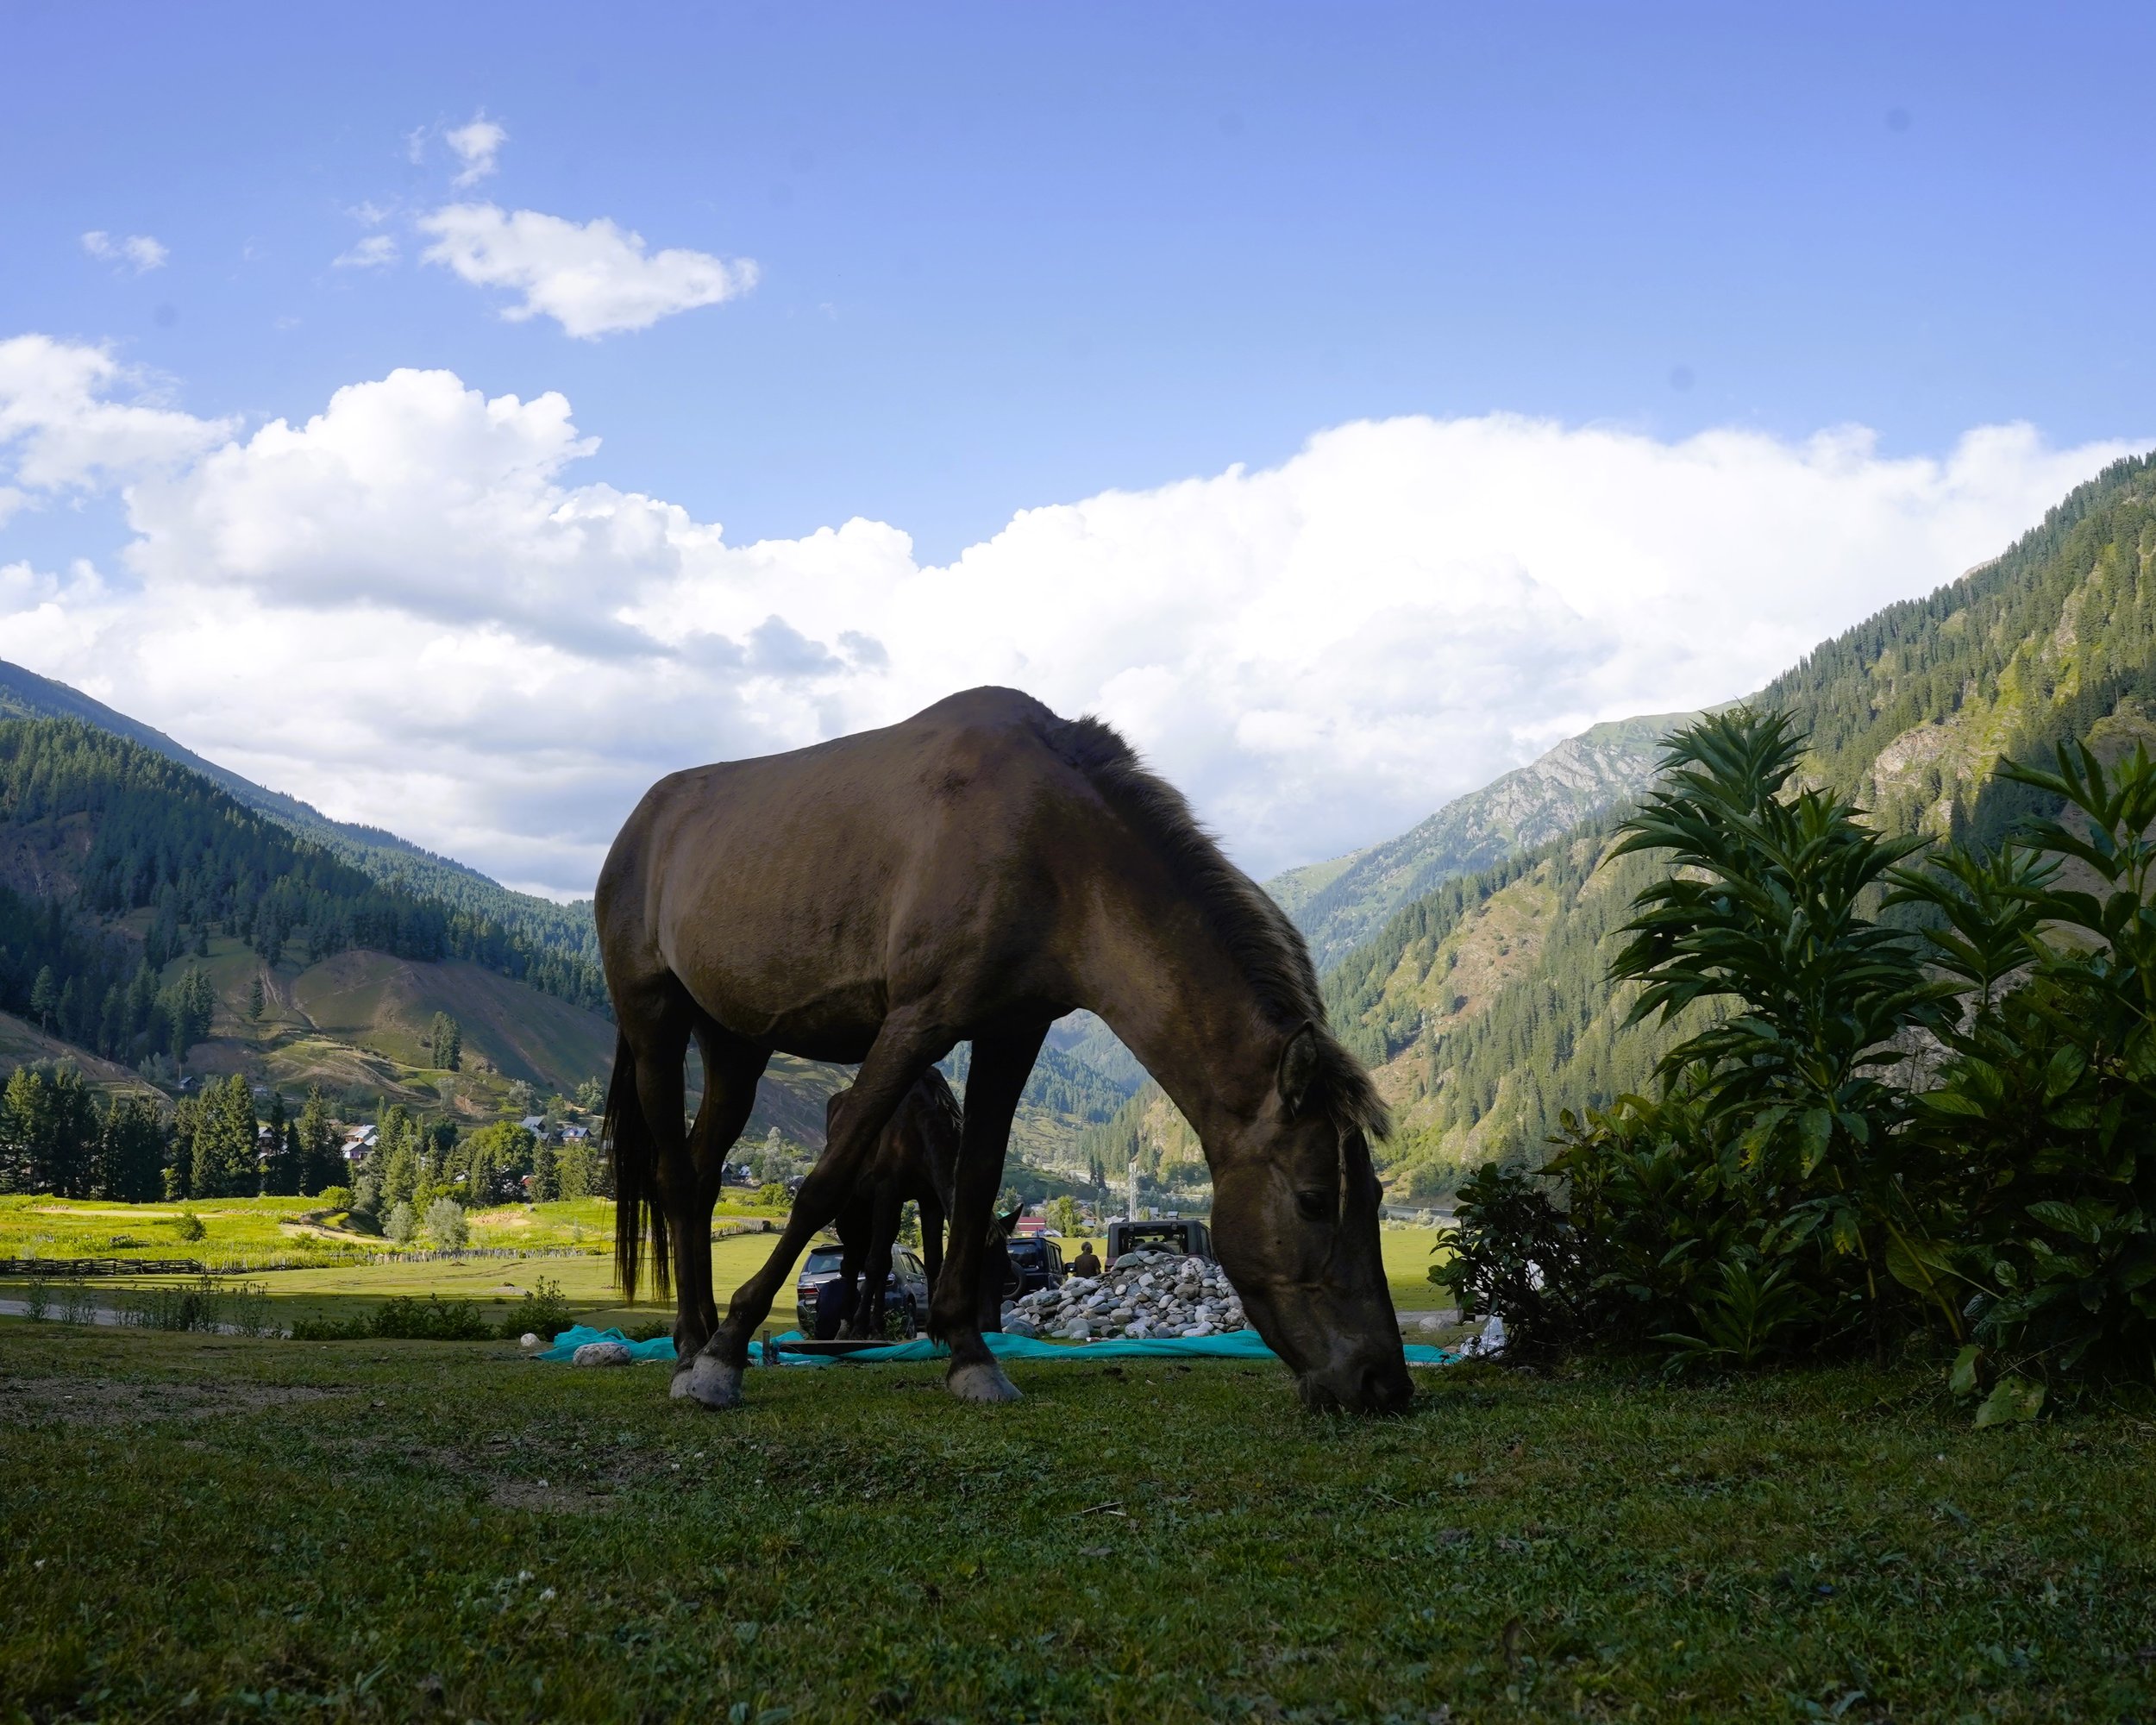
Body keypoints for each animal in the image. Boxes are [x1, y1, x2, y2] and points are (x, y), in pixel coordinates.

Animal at [598, 686, 1410, 1413]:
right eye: (1313, 1200)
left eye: (1374, 1198)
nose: (1383, 1382)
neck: (1051, 843)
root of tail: (642, 819)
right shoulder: (915, 1023)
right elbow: (823, 1185)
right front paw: (729, 1353)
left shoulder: (1010, 1031)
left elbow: (978, 1180)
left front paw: (968, 1354)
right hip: (653, 1021)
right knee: (676, 1180)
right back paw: (694, 1349)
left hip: (736, 1048)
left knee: (702, 1179)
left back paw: (691, 1337)